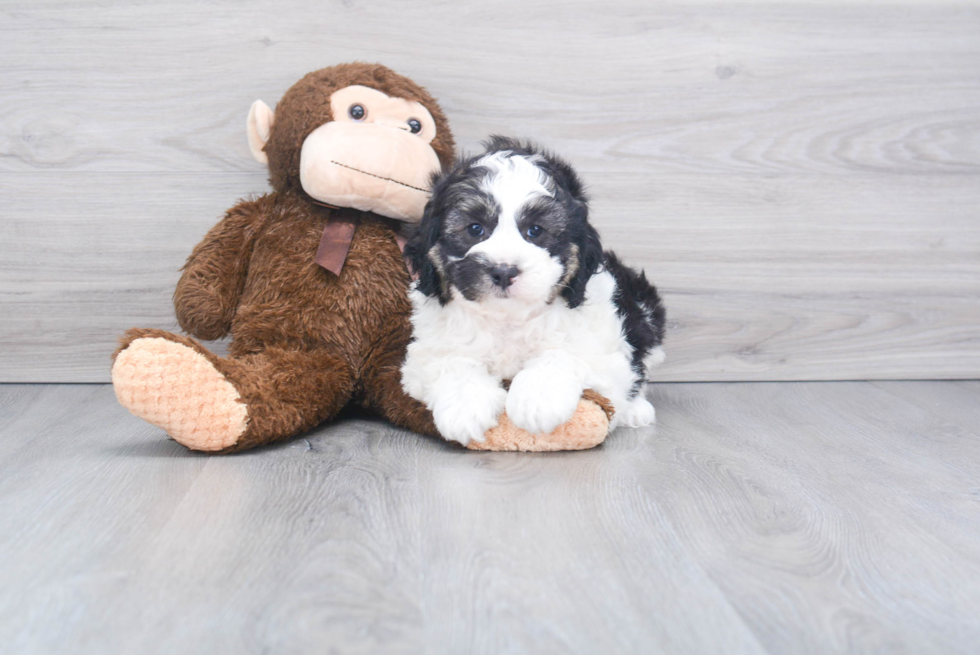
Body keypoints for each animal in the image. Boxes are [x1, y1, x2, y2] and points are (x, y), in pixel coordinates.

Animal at [400, 138, 668, 446]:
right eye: (475, 229)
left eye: (535, 231)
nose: (504, 271)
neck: (507, 317)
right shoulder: (423, 355)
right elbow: (451, 361)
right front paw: (465, 408)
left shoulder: (604, 351)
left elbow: (565, 354)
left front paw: (537, 401)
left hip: (645, 310)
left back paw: (637, 410)